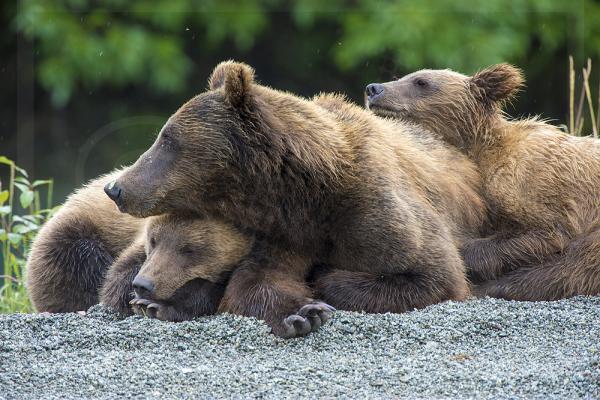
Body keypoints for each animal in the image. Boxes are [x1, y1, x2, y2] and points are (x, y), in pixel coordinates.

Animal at [104, 61, 488, 338]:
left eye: (167, 139)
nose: (115, 188)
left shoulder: (373, 210)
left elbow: (432, 274)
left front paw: (319, 288)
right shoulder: (282, 230)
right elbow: (261, 281)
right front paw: (303, 313)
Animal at [366, 62, 600, 300]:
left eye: (421, 82)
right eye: (402, 76)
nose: (374, 88)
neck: (479, 153)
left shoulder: (536, 181)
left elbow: (545, 233)